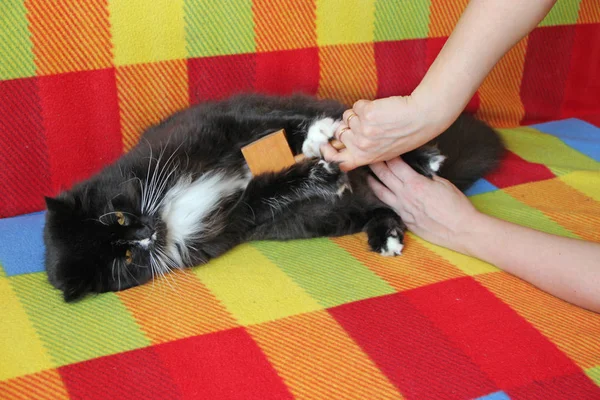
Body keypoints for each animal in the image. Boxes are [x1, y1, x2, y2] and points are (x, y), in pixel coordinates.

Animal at [42, 93, 504, 300]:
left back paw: (425, 159)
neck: (167, 210)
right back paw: (385, 235)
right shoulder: (239, 215)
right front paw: (318, 173)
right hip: (335, 216)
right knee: (379, 204)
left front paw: (319, 135)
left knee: (386, 154)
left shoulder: (219, 125)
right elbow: (271, 189)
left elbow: (281, 124)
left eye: (116, 218)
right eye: (124, 258)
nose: (145, 234)